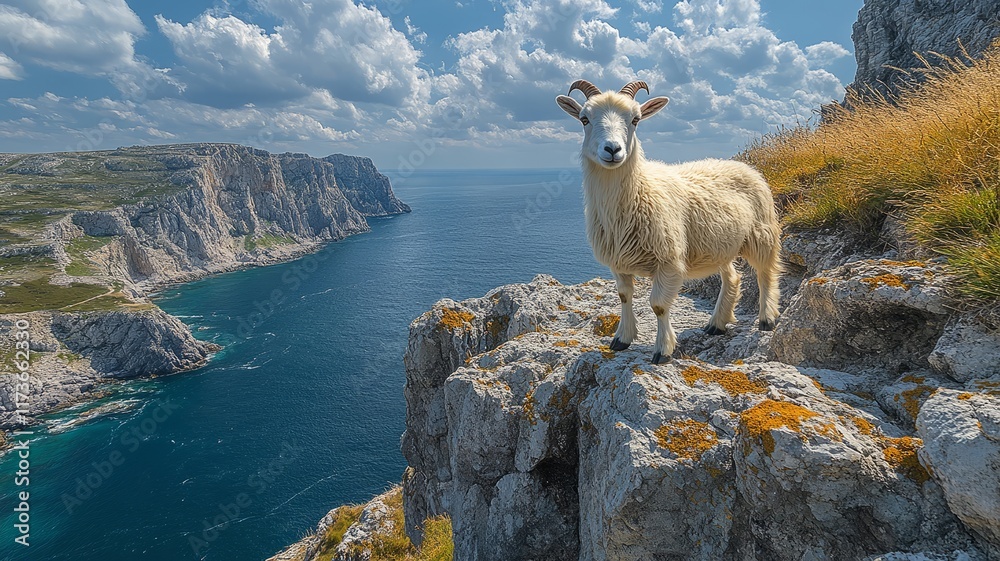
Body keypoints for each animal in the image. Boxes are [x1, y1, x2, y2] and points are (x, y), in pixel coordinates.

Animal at [556, 79, 782, 364]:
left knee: (766, 274)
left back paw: (767, 318)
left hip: (762, 232)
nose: (613, 149)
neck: (638, 193)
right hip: (721, 245)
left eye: (636, 120)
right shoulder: (618, 262)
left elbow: (659, 306)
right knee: (732, 277)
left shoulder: (669, 261)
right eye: (584, 119)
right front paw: (622, 339)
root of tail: (745, 166)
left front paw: (663, 350)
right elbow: (624, 296)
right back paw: (717, 324)